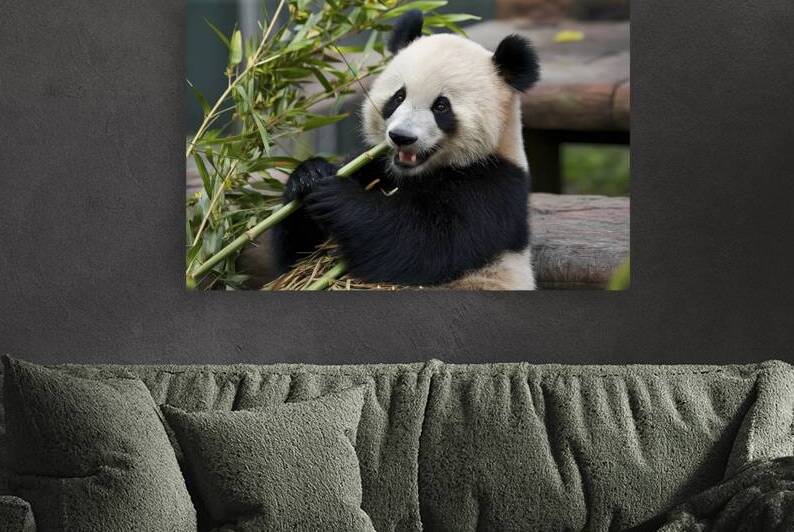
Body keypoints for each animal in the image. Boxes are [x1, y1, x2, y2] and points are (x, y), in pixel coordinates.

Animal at [241, 10, 540, 290]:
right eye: (398, 96)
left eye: (441, 106)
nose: (401, 137)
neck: (414, 174)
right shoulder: (374, 165)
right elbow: (299, 255)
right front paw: (310, 175)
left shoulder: (491, 189)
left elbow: (422, 243)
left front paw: (336, 195)